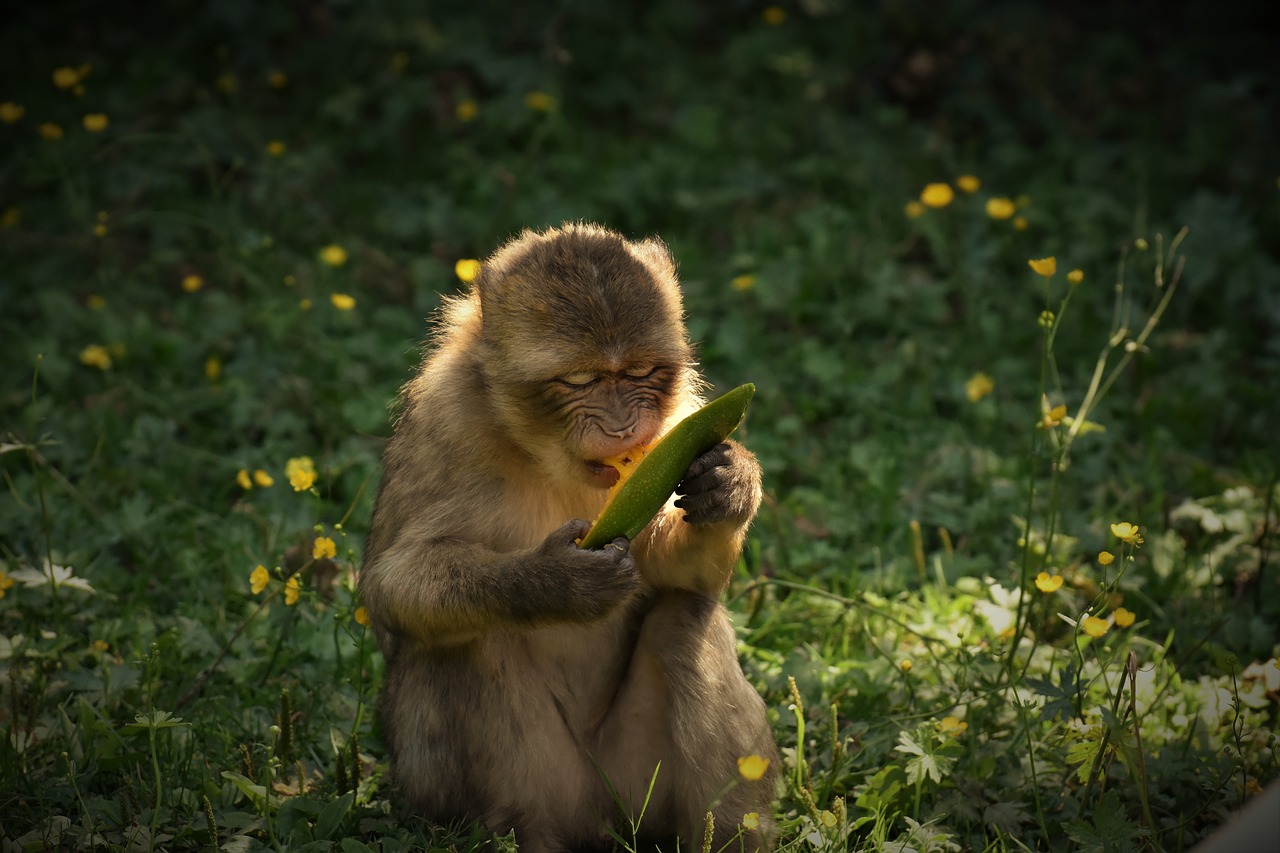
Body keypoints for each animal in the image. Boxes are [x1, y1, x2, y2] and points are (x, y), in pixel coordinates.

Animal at [360, 220, 778, 850]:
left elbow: (682, 577)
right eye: (581, 380)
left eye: (638, 373)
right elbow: (391, 585)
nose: (623, 426)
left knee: (683, 619)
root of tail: (600, 823)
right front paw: (555, 581)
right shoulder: (443, 422)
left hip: (637, 786)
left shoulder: (682, 418)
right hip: (491, 788)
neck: (544, 454)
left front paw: (730, 484)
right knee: (465, 643)